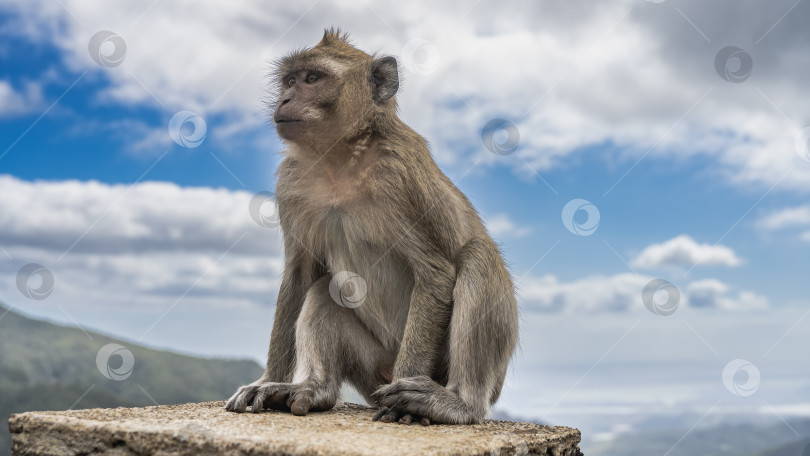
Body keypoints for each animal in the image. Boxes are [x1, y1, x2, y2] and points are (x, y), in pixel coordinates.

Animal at [226, 28, 516, 426]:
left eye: (312, 79)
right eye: (289, 81)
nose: (285, 99)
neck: (341, 158)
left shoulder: (400, 176)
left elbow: (436, 272)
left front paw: (403, 405)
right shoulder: (291, 183)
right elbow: (300, 275)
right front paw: (266, 380)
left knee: (478, 256)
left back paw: (455, 403)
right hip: (372, 366)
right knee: (322, 291)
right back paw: (315, 389)